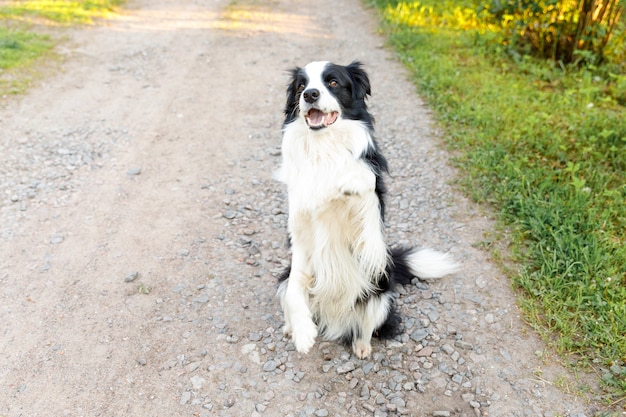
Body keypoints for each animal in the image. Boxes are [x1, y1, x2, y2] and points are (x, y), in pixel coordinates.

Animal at [276, 61, 456, 358]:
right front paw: (303, 333)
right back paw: (291, 328)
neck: (323, 147)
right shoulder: (300, 234)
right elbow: (294, 288)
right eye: (301, 86)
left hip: (380, 287)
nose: (310, 94)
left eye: (333, 82)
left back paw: (361, 346)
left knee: (368, 324)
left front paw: (348, 181)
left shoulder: (370, 227)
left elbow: (366, 181)